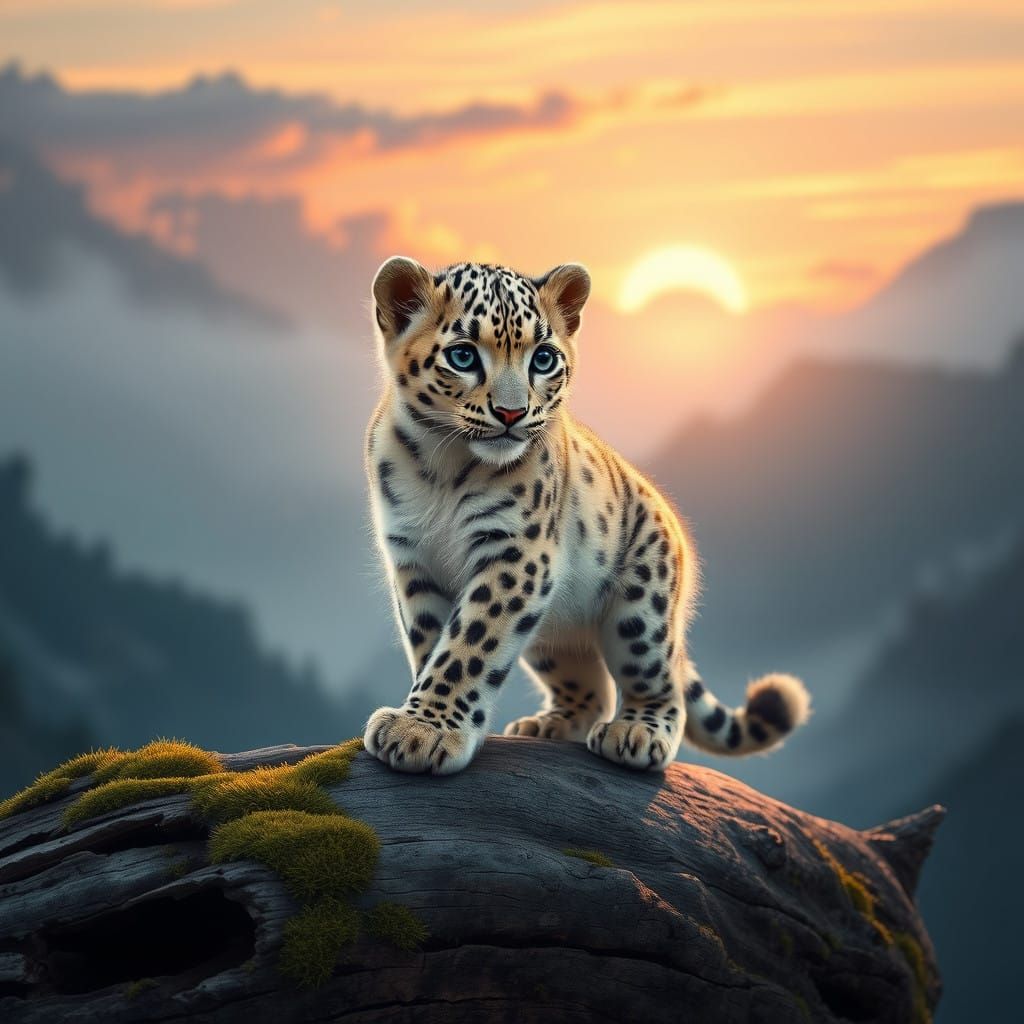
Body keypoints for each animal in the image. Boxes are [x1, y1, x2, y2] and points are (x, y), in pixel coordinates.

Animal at [362, 256, 811, 775]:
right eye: (463, 356)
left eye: (543, 358)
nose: (513, 413)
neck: (443, 464)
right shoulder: (413, 558)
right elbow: (433, 641)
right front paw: (425, 720)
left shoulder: (516, 554)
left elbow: (469, 643)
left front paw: (424, 730)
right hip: (552, 633)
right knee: (590, 685)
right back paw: (548, 725)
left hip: (642, 611)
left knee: (659, 683)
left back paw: (637, 732)